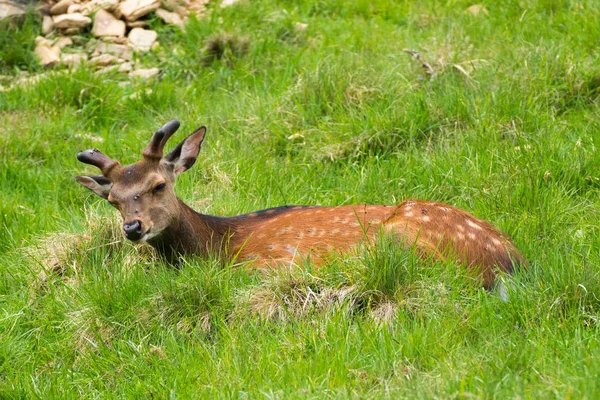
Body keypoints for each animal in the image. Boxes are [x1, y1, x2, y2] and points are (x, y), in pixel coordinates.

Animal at [75, 120, 524, 290]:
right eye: (113, 200)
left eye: (157, 185)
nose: (133, 228)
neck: (216, 242)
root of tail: (510, 263)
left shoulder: (267, 260)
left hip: (402, 237)